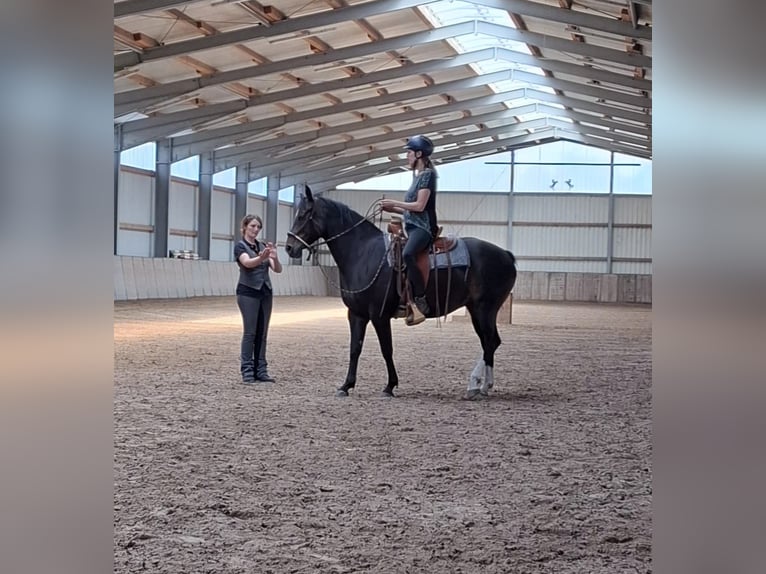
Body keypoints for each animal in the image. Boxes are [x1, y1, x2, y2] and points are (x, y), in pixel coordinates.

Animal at [284, 188, 520, 400]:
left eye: (304, 214)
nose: (288, 247)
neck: (363, 253)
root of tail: (506, 255)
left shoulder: (379, 315)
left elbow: (386, 349)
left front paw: (389, 387)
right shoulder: (357, 314)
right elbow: (354, 349)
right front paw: (346, 386)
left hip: (484, 309)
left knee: (489, 342)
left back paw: (477, 386)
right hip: (476, 310)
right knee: (490, 342)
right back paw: (482, 386)